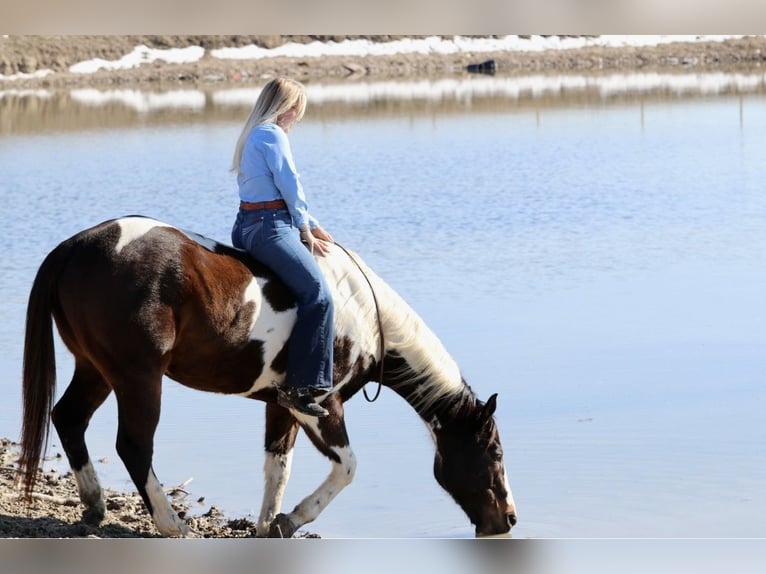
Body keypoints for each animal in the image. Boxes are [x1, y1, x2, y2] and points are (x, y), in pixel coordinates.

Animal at [19, 215, 517, 537]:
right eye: (493, 451)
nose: (509, 519)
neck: (362, 314)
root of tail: (73, 248)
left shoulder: (282, 406)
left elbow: (278, 466)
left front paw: (269, 524)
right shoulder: (320, 405)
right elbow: (347, 467)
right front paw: (292, 520)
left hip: (96, 370)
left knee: (69, 419)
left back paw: (94, 506)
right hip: (137, 377)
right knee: (134, 446)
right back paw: (170, 523)